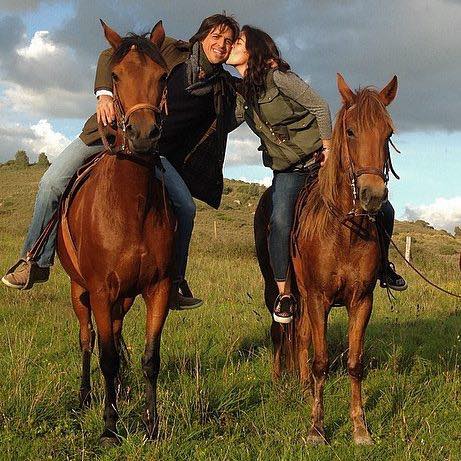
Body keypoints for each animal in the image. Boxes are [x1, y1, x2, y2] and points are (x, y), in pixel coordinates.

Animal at [56, 20, 174, 444]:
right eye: (116, 75)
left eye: (162, 76)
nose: (143, 134)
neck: (130, 206)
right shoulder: (100, 291)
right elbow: (106, 356)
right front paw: (109, 426)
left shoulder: (158, 288)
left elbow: (150, 358)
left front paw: (152, 425)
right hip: (80, 291)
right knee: (87, 340)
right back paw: (87, 396)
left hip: (122, 298)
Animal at [254, 73, 398, 445]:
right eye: (350, 131)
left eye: (388, 133)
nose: (373, 196)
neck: (345, 231)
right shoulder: (318, 299)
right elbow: (321, 361)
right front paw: (317, 429)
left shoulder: (361, 301)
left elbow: (354, 363)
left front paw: (360, 428)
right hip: (277, 289)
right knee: (280, 332)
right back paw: (279, 381)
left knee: (302, 336)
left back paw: (304, 386)